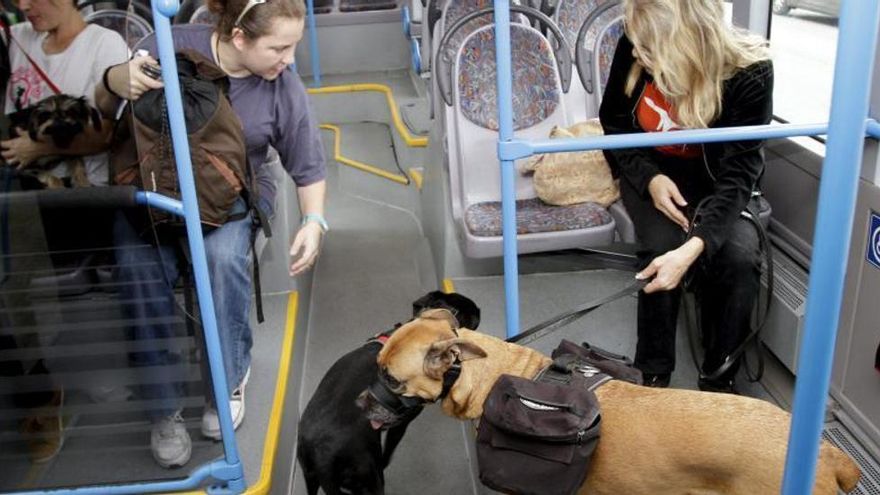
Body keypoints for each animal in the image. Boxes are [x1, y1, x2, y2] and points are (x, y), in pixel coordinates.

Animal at [300, 292, 484, 495]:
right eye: (461, 309)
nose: (478, 309)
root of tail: (321, 457)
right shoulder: (400, 424)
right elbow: (388, 453)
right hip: (369, 479)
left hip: (310, 477)